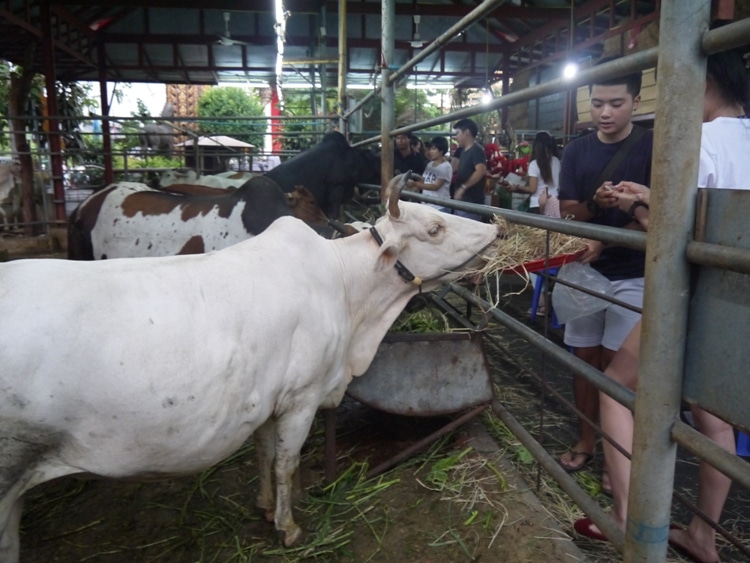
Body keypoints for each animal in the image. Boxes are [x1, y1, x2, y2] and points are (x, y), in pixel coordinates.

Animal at [0, 175, 502, 560]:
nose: (495, 227)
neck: (346, 290)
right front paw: (288, 525)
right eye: (435, 228)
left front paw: (263, 505)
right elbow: (285, 461)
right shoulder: (301, 398)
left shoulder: (265, 400)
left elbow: (263, 453)